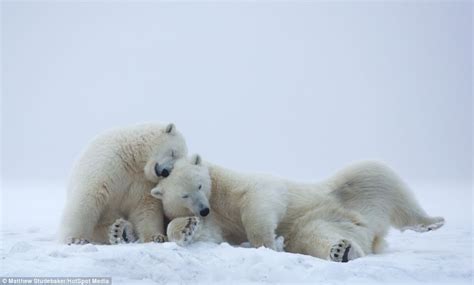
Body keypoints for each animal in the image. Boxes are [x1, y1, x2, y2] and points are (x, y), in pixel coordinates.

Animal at [57, 122, 187, 244]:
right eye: (173, 152)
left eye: (174, 166)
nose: (165, 172)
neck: (134, 158)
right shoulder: (109, 163)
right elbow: (89, 197)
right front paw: (75, 239)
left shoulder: (143, 182)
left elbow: (146, 207)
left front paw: (156, 237)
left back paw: (121, 231)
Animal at [151, 155, 444, 262]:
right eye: (184, 195)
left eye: (200, 185)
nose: (203, 211)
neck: (218, 200)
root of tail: (371, 230)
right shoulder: (217, 219)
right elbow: (208, 232)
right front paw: (186, 228)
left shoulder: (235, 185)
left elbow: (260, 197)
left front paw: (266, 243)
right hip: (326, 221)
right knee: (316, 235)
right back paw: (342, 250)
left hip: (350, 188)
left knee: (379, 175)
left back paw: (430, 221)